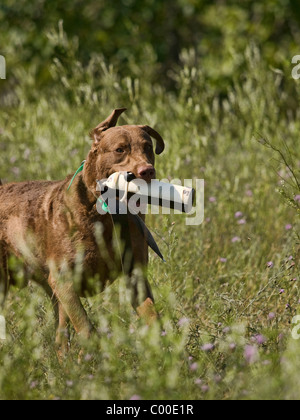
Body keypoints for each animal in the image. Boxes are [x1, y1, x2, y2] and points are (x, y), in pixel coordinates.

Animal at [0, 109, 165, 354]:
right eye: (120, 149)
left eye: (147, 147)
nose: (147, 171)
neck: (106, 216)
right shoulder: (64, 281)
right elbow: (86, 328)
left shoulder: (136, 275)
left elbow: (153, 318)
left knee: (60, 335)